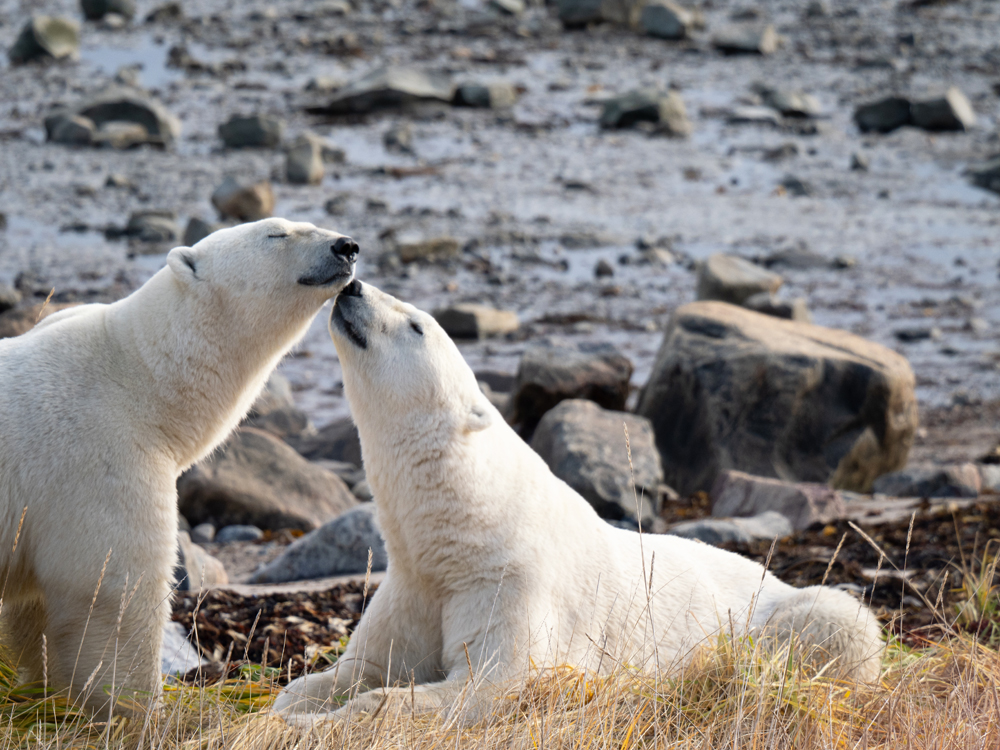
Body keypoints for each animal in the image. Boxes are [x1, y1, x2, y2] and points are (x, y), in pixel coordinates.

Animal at [0, 218, 358, 715]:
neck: (140, 377)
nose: (347, 245)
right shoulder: (100, 458)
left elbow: (36, 612)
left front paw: (43, 693)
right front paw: (142, 710)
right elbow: (114, 587)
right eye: (277, 234)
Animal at [274, 280, 885, 724]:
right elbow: (358, 667)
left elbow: (494, 681)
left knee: (837, 622)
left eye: (416, 324)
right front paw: (297, 707)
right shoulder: (413, 586)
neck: (465, 529)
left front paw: (348, 717)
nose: (353, 286)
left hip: (781, 614)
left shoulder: (511, 582)